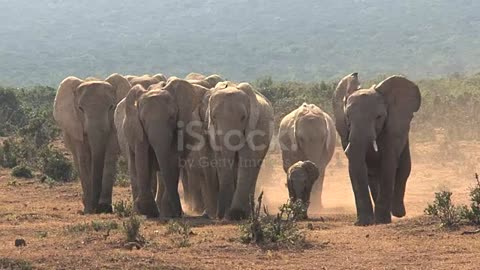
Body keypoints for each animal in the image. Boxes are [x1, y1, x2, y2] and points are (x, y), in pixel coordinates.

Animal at [54, 73, 131, 214]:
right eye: (80, 109)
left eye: (111, 107)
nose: (96, 208)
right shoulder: (76, 124)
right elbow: (83, 158)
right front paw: (90, 209)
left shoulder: (113, 128)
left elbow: (109, 157)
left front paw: (104, 208)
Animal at [121, 78, 205, 217]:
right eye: (143, 120)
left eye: (172, 117)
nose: (178, 213)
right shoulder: (137, 128)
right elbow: (142, 154)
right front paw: (147, 210)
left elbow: (173, 158)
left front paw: (168, 211)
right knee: (134, 164)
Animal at [207, 81, 274, 220]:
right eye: (214, 117)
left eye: (243, 117)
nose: (220, 216)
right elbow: (221, 161)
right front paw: (228, 214)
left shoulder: (252, 128)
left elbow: (246, 160)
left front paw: (236, 214)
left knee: (255, 168)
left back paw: (248, 213)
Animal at [332, 72, 422, 226]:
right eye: (347, 117)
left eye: (379, 117)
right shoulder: (344, 132)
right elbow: (357, 168)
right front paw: (364, 223)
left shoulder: (392, 131)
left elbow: (388, 165)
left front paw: (382, 221)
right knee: (373, 176)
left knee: (404, 169)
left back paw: (397, 212)